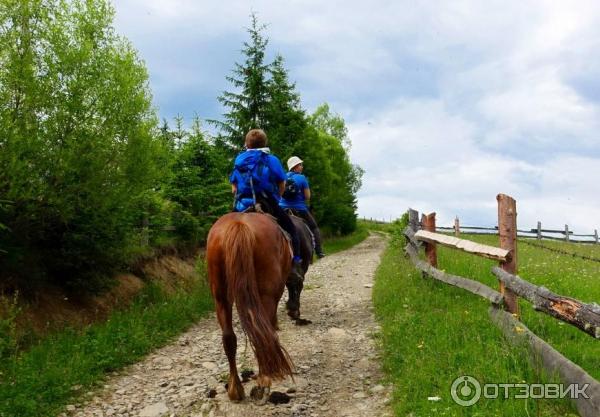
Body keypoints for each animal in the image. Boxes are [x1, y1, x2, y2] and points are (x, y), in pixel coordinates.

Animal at [206, 211, 296, 400]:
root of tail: (240, 225)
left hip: (221, 297)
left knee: (229, 338)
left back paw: (235, 389)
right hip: (266, 294)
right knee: (263, 335)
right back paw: (264, 381)